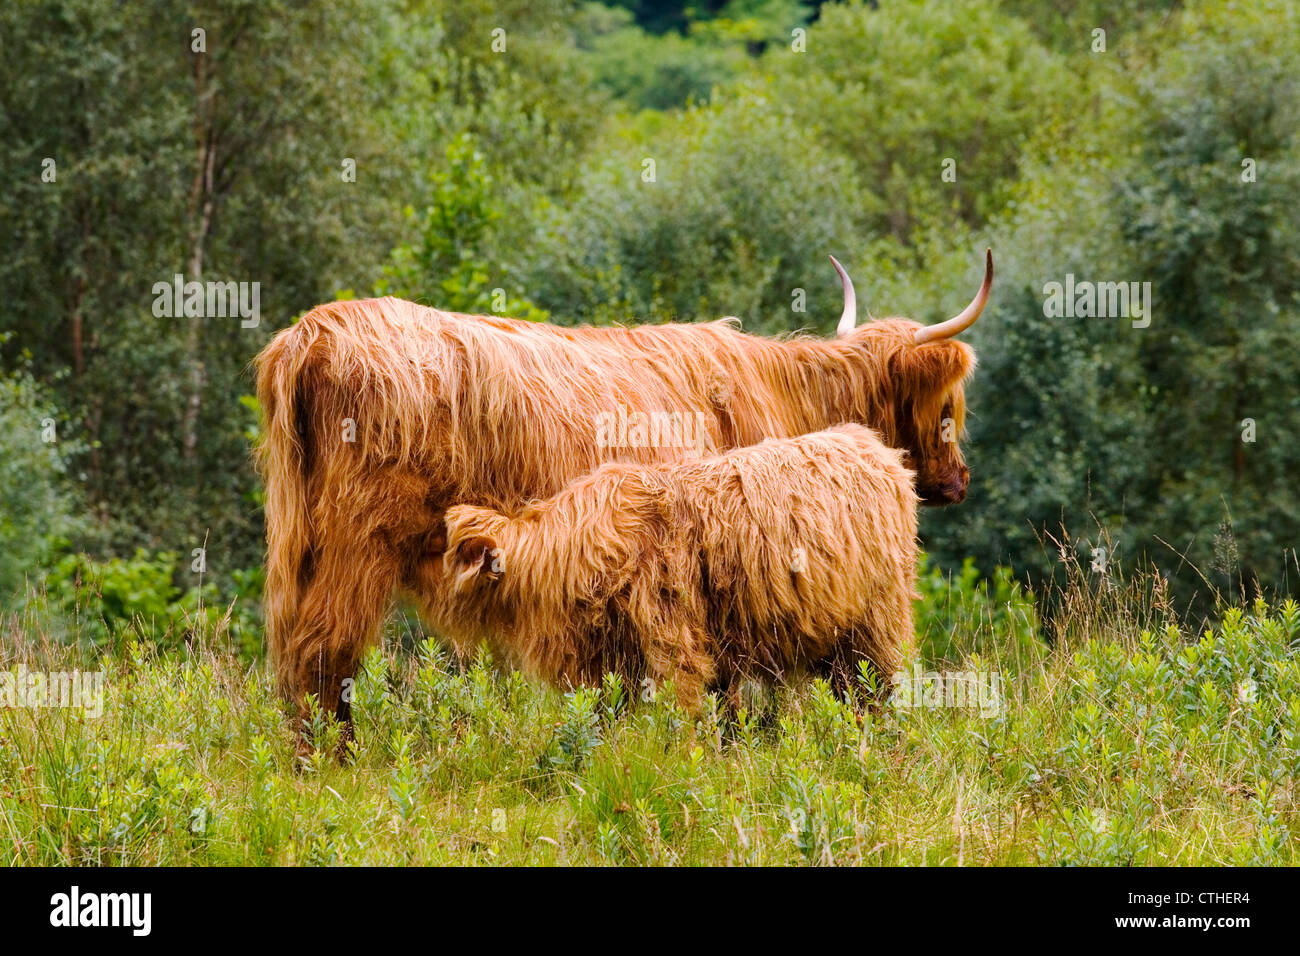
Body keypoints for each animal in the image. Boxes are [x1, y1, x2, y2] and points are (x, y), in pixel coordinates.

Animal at [441, 423, 918, 710]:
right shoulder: (607, 659)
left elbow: (683, 707)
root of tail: (866, 441)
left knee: (878, 689)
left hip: (878, 622)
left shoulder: (672, 631)